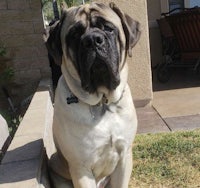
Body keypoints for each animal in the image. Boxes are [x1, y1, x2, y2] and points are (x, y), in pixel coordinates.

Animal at [44, 1, 141, 188]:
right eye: (75, 34)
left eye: (108, 28)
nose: (93, 40)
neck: (102, 102)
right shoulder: (81, 169)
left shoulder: (124, 157)